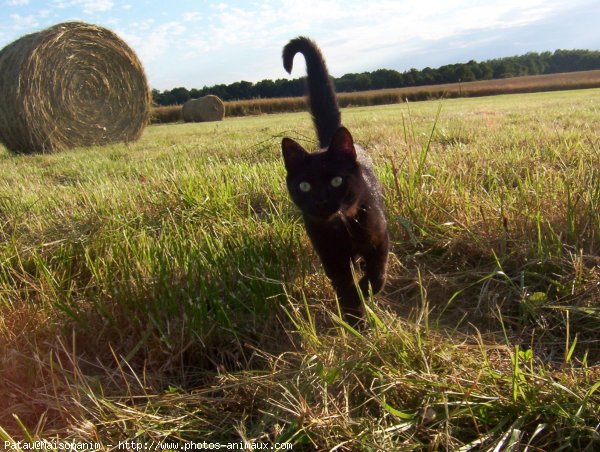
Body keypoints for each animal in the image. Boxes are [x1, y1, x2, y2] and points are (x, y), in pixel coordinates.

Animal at [282, 36, 390, 324]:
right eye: (305, 185)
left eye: (336, 182)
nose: (321, 201)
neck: (343, 226)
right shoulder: (330, 256)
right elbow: (345, 287)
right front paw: (355, 319)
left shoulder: (380, 238)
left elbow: (377, 274)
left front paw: (366, 290)